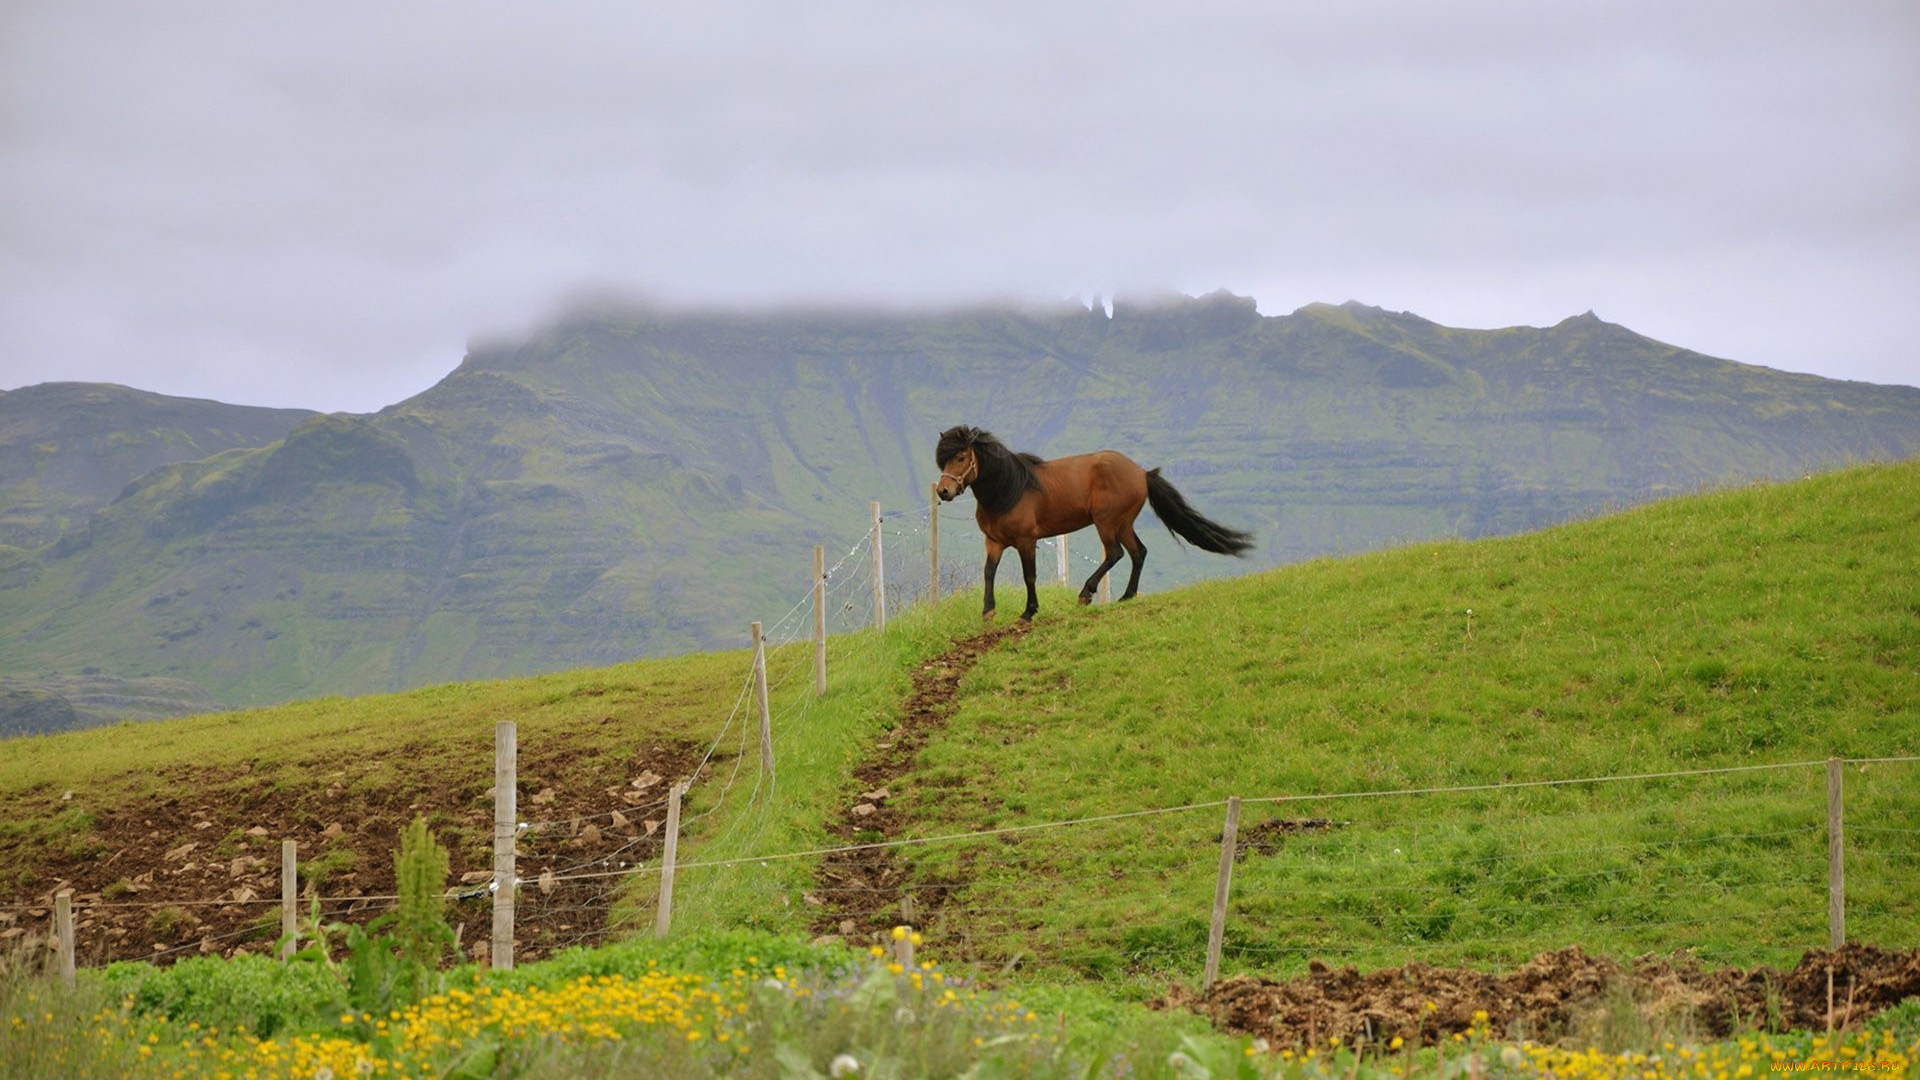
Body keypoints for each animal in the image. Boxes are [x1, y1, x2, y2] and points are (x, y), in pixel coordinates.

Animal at [933, 422, 1259, 618]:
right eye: (943, 460)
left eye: (961, 457)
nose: (943, 491)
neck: (1009, 490)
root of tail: (1141, 473)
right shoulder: (994, 542)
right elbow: (989, 573)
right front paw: (988, 611)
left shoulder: (1027, 541)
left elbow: (1030, 576)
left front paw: (1029, 611)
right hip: (1124, 524)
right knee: (1138, 552)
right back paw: (1127, 596)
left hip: (1107, 523)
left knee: (1115, 553)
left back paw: (1086, 593)